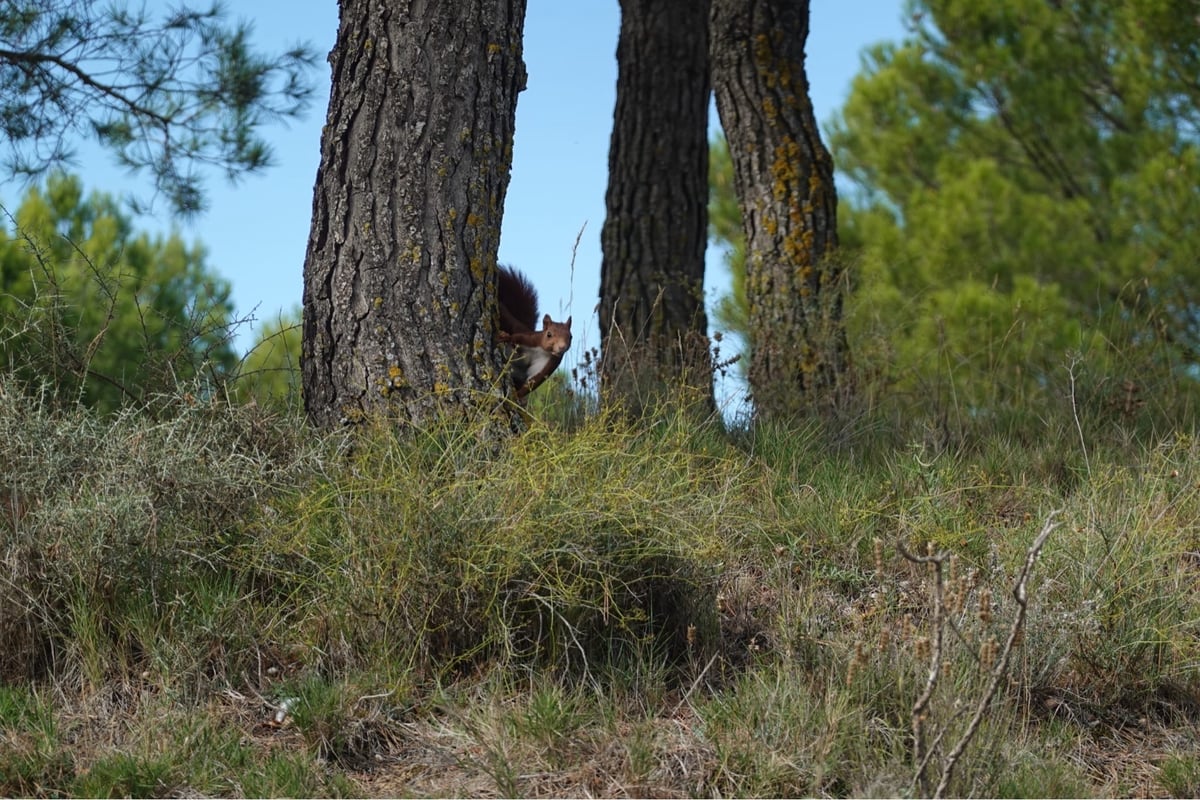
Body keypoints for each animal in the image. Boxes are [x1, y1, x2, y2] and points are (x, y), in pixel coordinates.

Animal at [496, 265, 572, 400]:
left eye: (571, 337)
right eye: (549, 334)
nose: (562, 347)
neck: (544, 351)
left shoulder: (548, 365)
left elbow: (532, 382)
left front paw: (517, 397)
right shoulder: (531, 339)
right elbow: (516, 337)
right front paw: (505, 337)